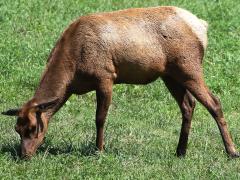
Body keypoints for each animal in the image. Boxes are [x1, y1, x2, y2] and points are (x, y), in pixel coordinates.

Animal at [1, 5, 238, 158]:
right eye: (17, 128)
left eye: (33, 127)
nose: (24, 155)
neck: (72, 74)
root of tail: (202, 26)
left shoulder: (106, 76)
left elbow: (100, 118)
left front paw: (99, 150)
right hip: (170, 74)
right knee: (188, 105)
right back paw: (180, 151)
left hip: (189, 66)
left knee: (214, 102)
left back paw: (232, 152)